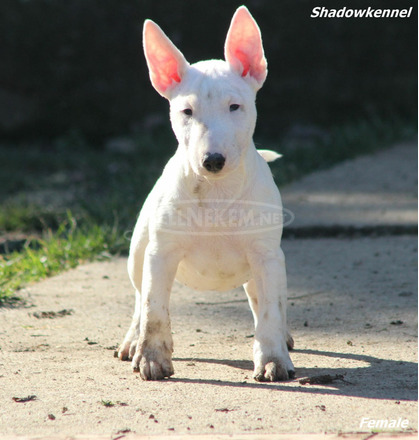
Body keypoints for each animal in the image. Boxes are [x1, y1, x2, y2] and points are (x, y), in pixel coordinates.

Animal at [118, 4, 296, 382]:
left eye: (235, 106)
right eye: (186, 111)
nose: (212, 160)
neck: (217, 192)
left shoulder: (267, 256)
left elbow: (270, 311)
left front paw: (273, 360)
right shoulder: (160, 254)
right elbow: (155, 309)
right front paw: (151, 358)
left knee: (262, 299)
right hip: (137, 253)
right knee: (140, 298)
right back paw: (131, 342)